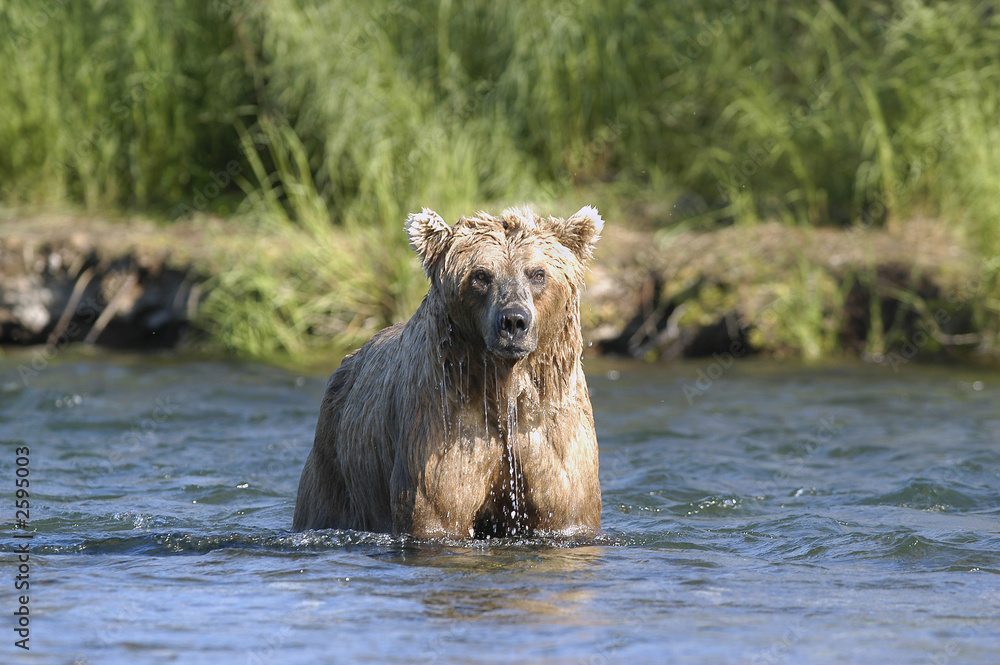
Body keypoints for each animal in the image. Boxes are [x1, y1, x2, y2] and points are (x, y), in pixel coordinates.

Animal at [292, 205, 604, 538]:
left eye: (537, 273)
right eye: (481, 275)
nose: (513, 321)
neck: (505, 390)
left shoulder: (552, 436)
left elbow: (567, 507)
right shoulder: (444, 425)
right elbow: (438, 508)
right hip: (335, 462)